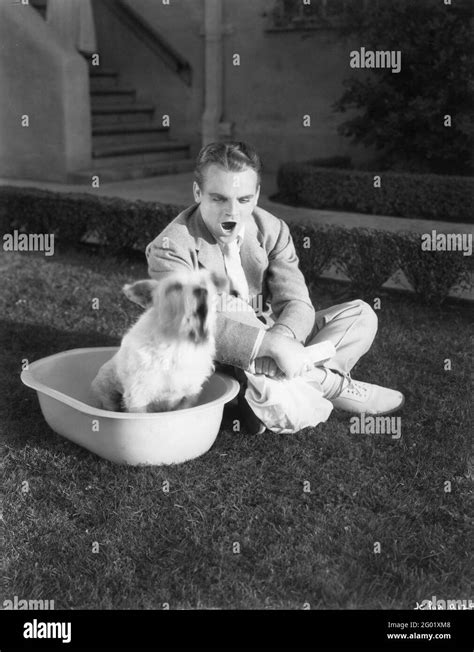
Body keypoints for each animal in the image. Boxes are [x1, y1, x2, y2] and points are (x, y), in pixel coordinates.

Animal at [91, 270, 227, 412]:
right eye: (175, 286)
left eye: (205, 282)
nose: (202, 291)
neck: (177, 345)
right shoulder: (138, 398)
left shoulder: (190, 395)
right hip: (106, 392)